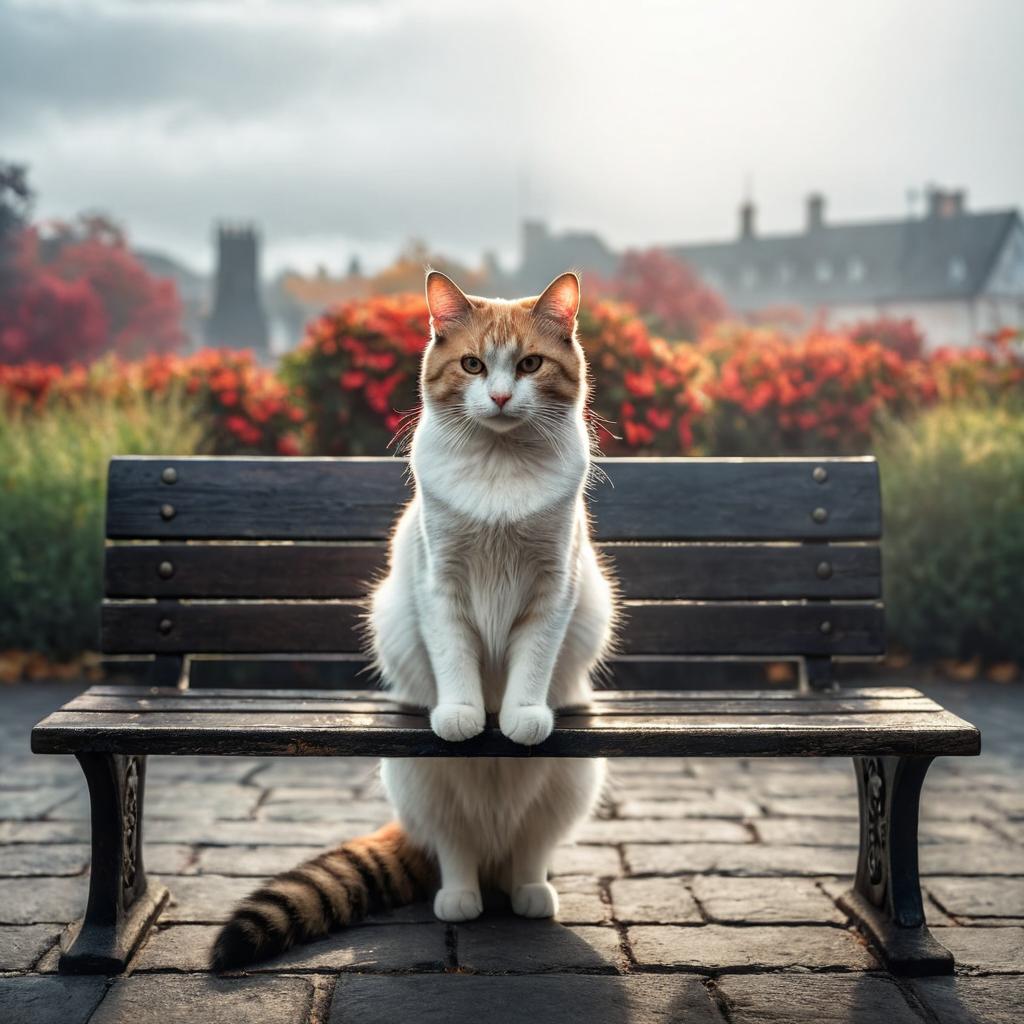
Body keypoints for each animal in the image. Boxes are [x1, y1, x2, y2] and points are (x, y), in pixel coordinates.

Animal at [205, 270, 606, 966]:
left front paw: (522, 714)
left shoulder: (553, 586)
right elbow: (455, 660)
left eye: (529, 365)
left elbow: (532, 661)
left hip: (572, 782)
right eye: (473, 365)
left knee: (531, 847)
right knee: (455, 846)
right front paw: (465, 713)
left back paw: (529, 892)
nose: (500, 395)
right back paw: (461, 897)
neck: (500, 467)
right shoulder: (438, 584)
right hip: (417, 780)